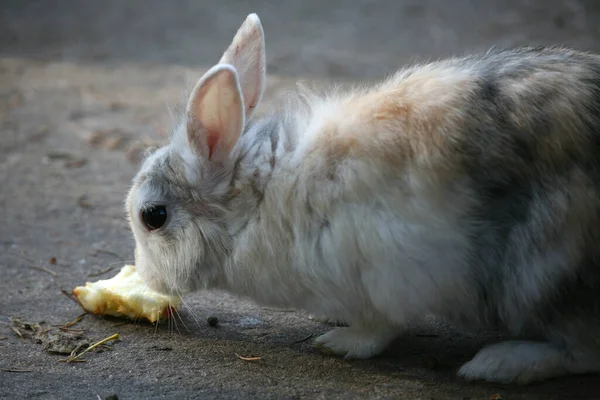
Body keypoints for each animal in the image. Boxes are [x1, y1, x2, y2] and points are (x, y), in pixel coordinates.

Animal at [126, 13, 600, 384]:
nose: (146, 277)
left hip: (541, 269)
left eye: (153, 216)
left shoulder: (389, 270)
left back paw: (495, 364)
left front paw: (341, 341)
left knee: (580, 349)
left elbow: (379, 327)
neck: (262, 201)